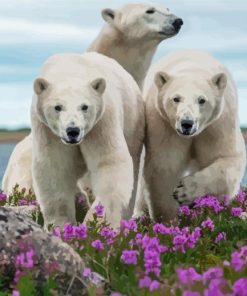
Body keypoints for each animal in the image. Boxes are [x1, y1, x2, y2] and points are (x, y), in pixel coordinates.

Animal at [30, 52, 145, 228]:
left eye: (84, 106)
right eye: (58, 107)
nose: (73, 130)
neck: (70, 70)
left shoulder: (101, 121)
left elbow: (109, 163)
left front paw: (98, 222)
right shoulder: (47, 130)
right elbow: (54, 168)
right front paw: (60, 225)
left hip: (132, 121)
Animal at [144, 50, 246, 222]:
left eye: (202, 100)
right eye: (176, 98)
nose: (187, 123)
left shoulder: (218, 125)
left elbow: (227, 159)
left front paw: (184, 191)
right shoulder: (164, 125)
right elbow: (164, 166)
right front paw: (168, 219)